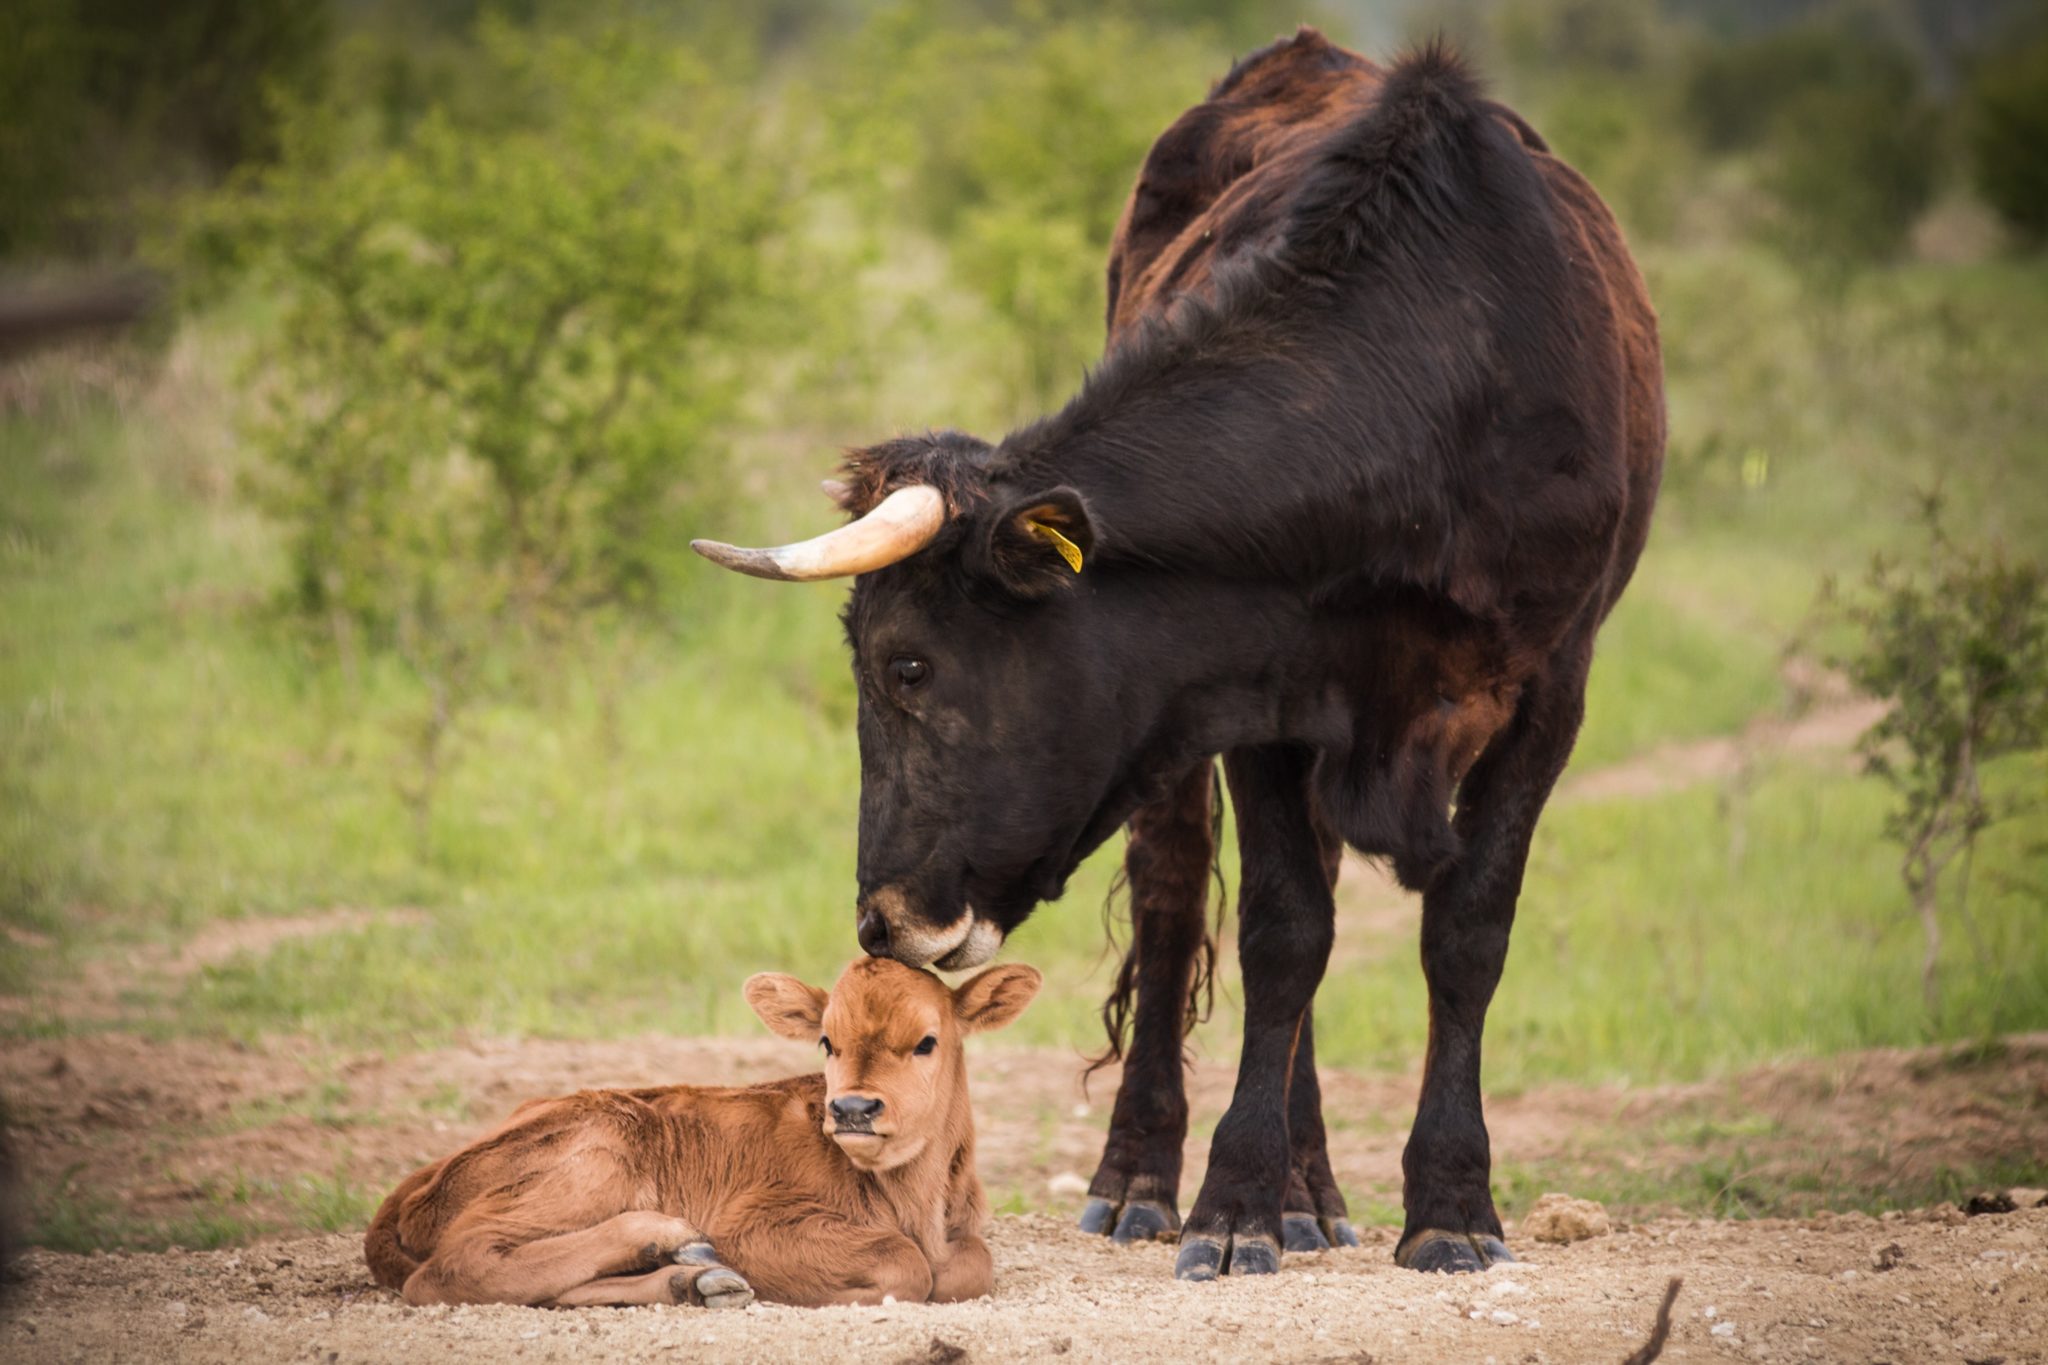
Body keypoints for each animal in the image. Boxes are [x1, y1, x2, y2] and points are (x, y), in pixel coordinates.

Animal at [360, 957, 1040, 1309]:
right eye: (827, 1041)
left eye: (926, 1041)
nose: (851, 1108)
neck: (913, 1196)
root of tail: (421, 1180)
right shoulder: (756, 1225)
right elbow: (906, 1265)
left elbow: (970, 1264)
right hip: (599, 1153)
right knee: (456, 1266)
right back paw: (670, 1238)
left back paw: (695, 1279)